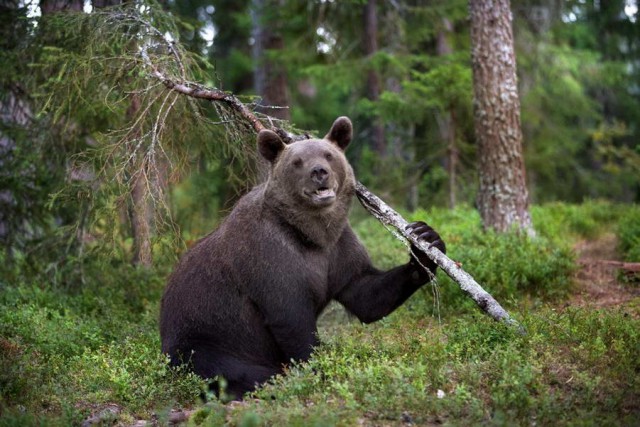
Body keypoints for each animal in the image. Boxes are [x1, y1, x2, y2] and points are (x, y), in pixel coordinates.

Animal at [159, 116, 444, 402]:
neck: (310, 233)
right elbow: (292, 320)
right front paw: (320, 370)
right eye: (297, 162)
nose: (319, 172)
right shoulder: (269, 256)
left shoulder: (337, 249)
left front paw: (425, 243)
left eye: (329, 155)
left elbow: (365, 293)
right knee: (231, 371)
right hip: (204, 337)